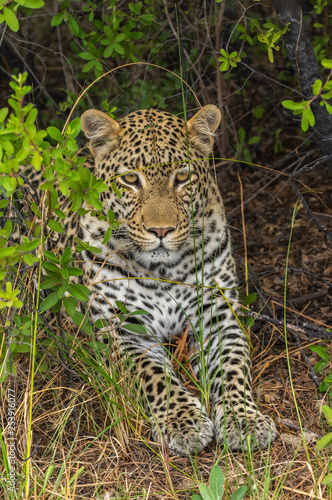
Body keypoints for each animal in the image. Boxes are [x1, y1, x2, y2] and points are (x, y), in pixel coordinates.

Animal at [32, 105, 278, 458]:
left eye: (182, 178)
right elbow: (154, 375)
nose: (161, 231)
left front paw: (244, 421)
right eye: (131, 179)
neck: (164, 271)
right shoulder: (123, 328)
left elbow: (232, 367)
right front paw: (183, 423)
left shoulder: (219, 316)